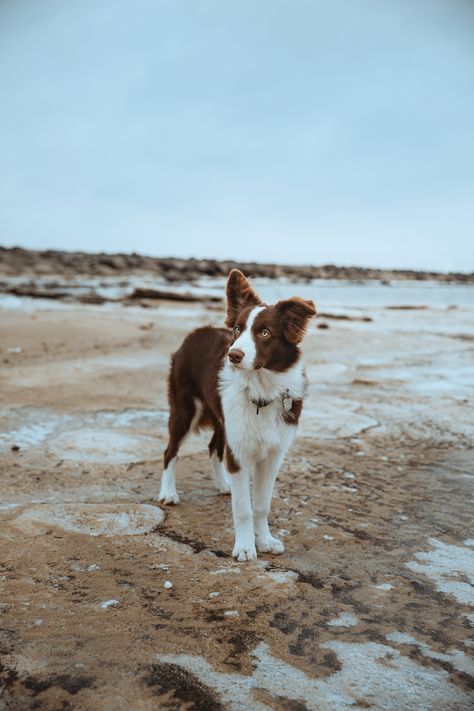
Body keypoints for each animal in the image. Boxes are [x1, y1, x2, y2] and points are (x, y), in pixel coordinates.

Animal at [157, 272, 316, 560]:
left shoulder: (273, 455)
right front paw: (244, 547)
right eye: (238, 330)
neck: (262, 390)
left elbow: (262, 505)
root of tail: (198, 331)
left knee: (213, 447)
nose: (234, 355)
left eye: (265, 333)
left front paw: (265, 541)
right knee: (170, 451)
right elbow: (243, 509)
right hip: (185, 411)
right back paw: (168, 492)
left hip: (223, 421)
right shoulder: (239, 451)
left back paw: (223, 484)